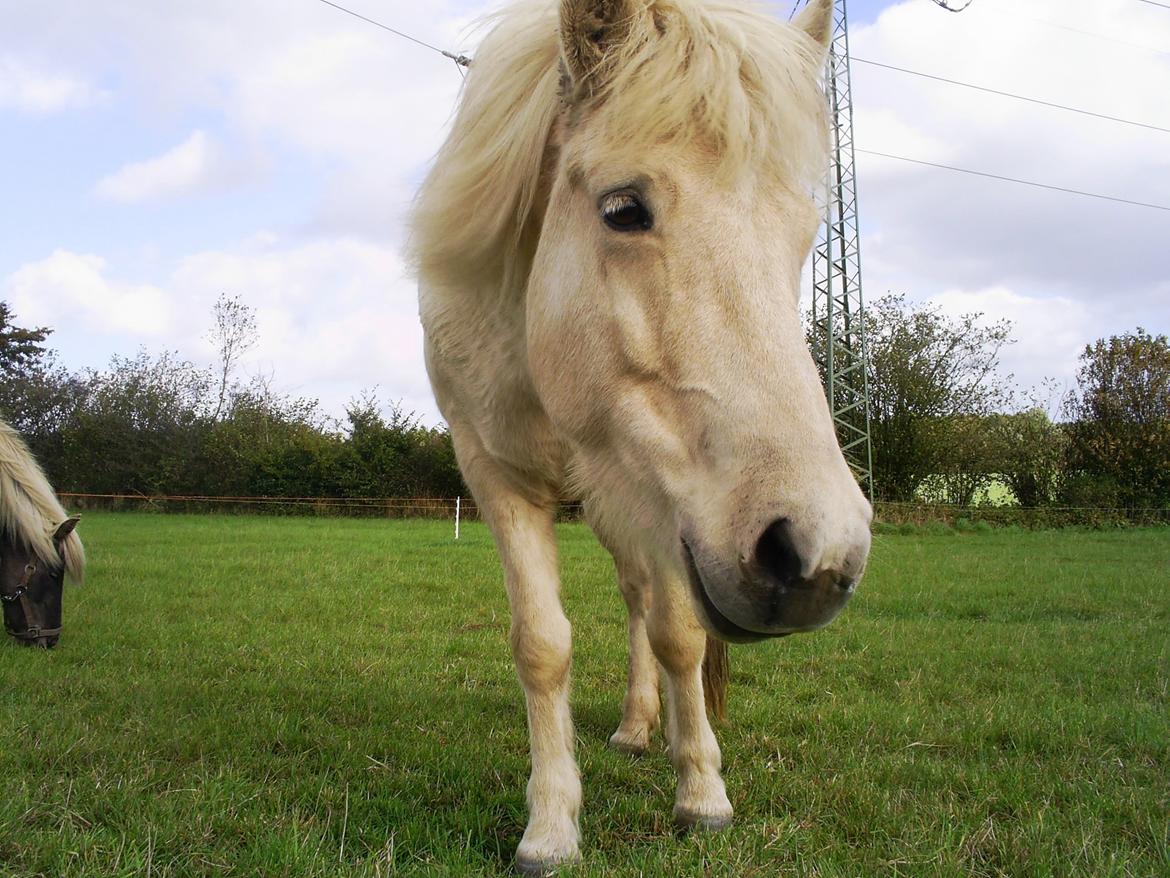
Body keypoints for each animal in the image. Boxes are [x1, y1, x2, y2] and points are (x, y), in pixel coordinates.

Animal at [409, 0, 870, 870]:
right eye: (623, 209)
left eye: (806, 236)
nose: (818, 557)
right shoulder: (494, 475)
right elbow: (542, 644)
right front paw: (551, 828)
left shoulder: (667, 497)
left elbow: (678, 635)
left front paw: (703, 794)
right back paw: (631, 726)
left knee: (645, 606)